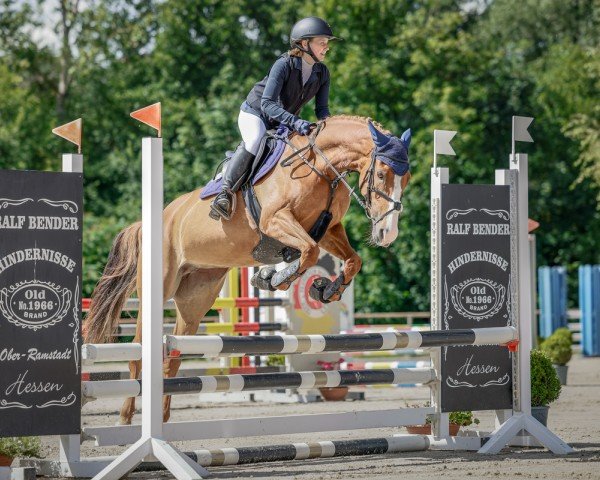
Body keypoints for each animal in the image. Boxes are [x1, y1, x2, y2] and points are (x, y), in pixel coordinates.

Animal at [84, 115, 410, 424]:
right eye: (382, 174)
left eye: (405, 180)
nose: (388, 234)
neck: (319, 167)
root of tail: (154, 220)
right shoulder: (276, 221)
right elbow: (308, 252)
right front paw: (272, 278)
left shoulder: (328, 230)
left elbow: (351, 260)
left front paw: (326, 289)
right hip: (158, 288)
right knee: (137, 355)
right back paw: (126, 417)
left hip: (195, 299)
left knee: (173, 356)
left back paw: (163, 418)